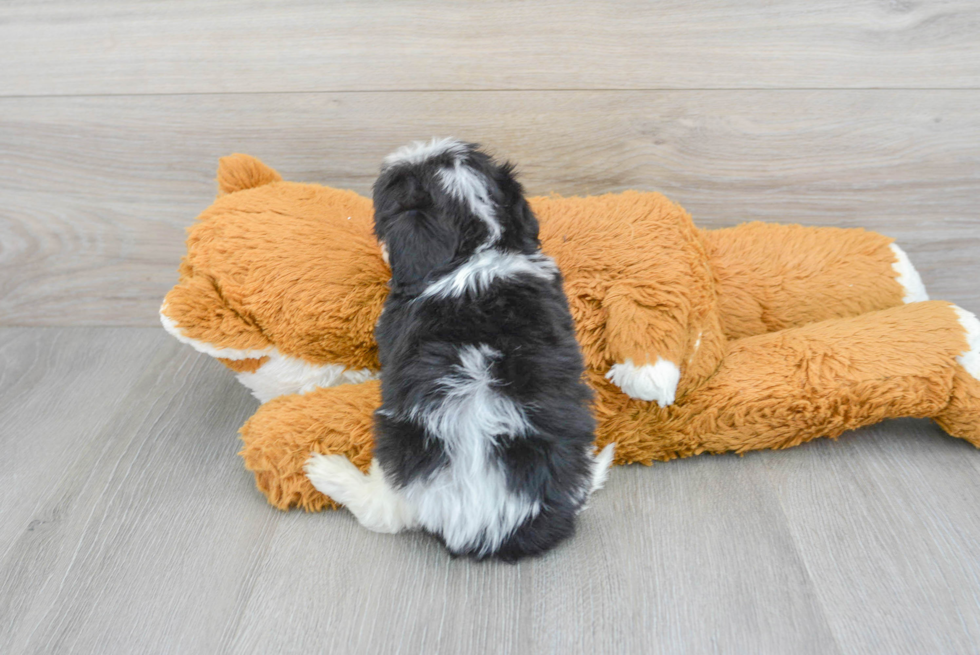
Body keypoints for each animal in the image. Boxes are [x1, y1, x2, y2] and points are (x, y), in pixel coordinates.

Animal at [306, 137, 612, 560]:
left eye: (390, 193)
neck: (474, 252)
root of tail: (492, 528)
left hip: (396, 443)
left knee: (382, 513)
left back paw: (328, 471)